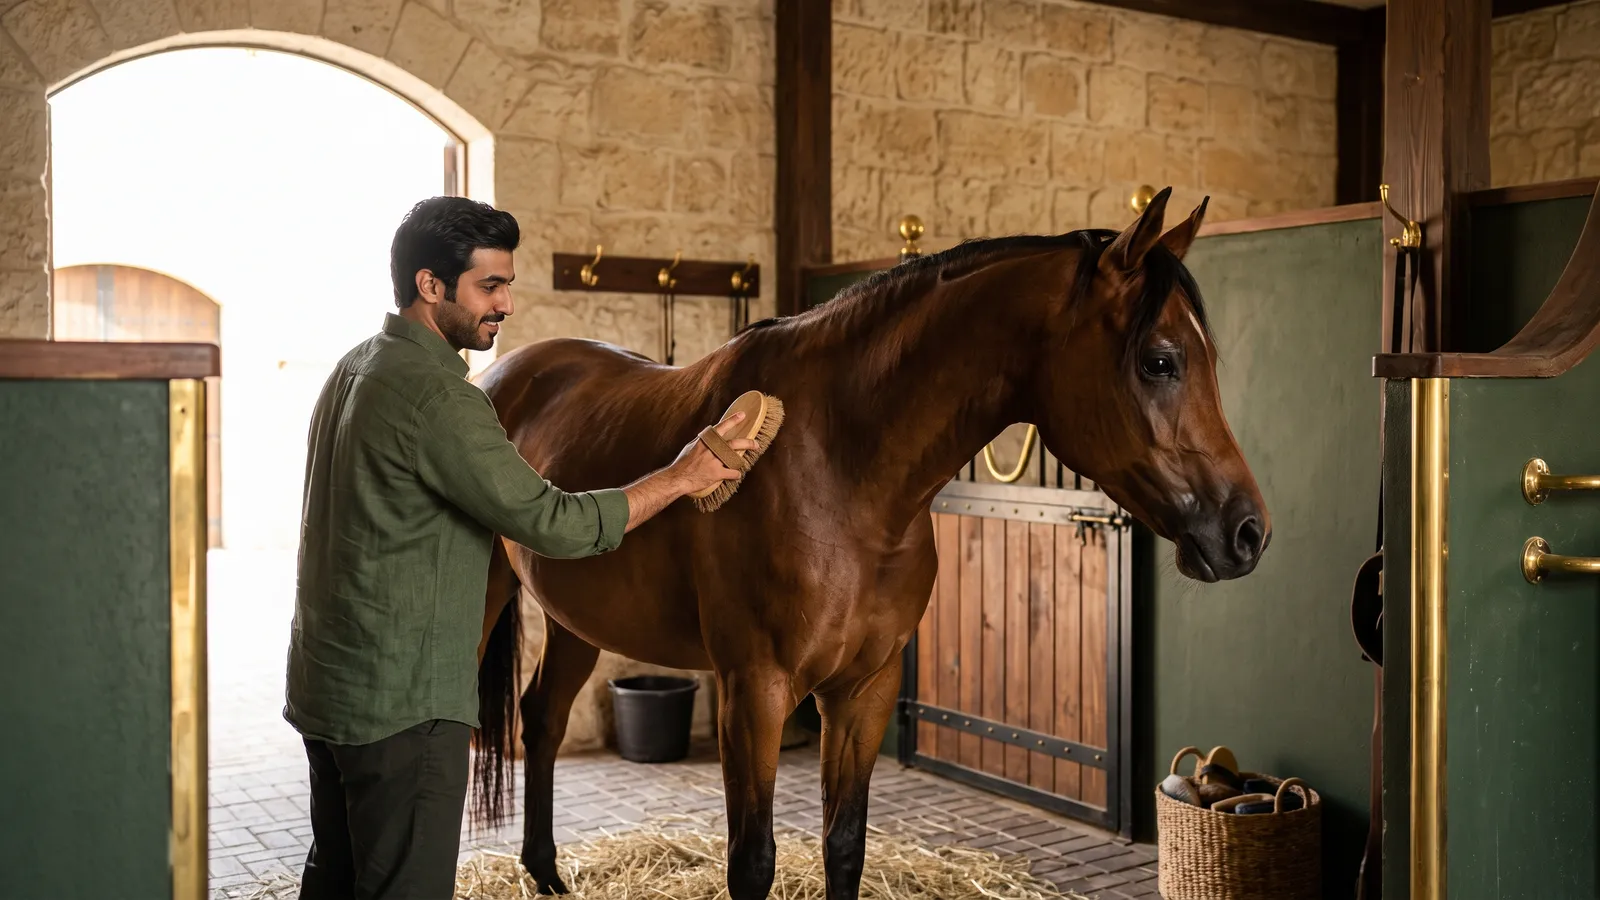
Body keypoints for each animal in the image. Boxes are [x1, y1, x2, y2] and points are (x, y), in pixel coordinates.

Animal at [470, 187, 1270, 899]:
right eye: (1160, 360)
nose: (1247, 532)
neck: (840, 465)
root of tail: (506, 372)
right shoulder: (752, 690)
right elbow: (752, 862)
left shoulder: (866, 689)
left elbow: (845, 845)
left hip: (577, 620)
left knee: (542, 720)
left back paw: (546, 873)